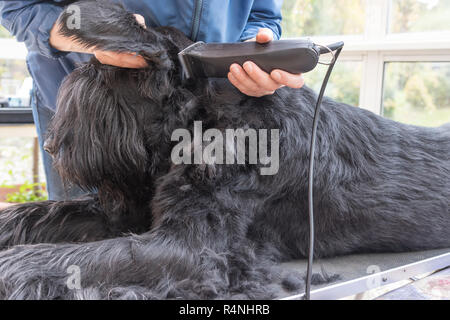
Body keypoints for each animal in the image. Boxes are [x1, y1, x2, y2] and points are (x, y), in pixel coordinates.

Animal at [0, 1, 448, 298]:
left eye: (99, 86)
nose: (52, 146)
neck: (203, 120)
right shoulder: (128, 213)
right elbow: (45, 214)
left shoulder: (190, 248)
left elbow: (77, 258)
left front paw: (9, 268)